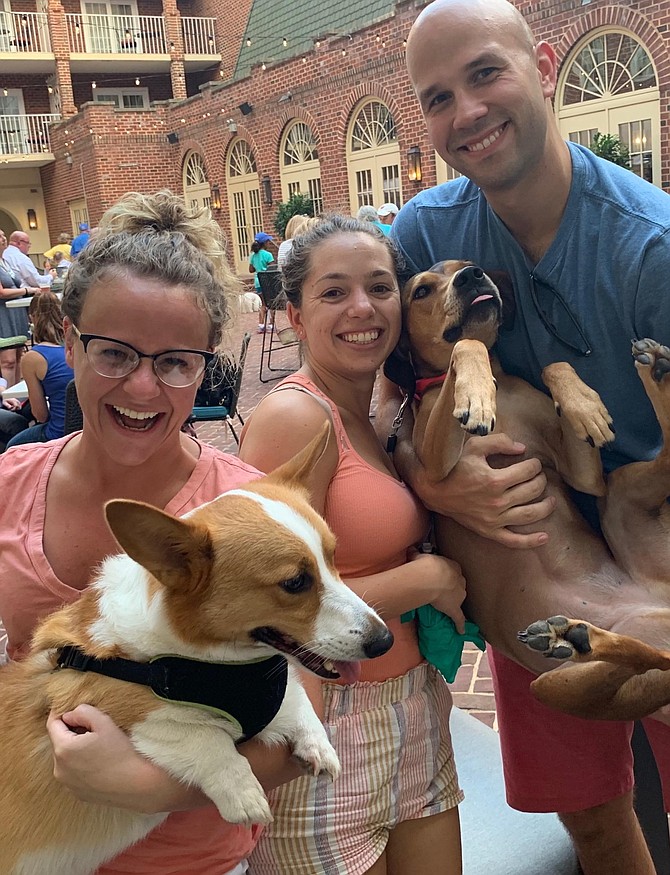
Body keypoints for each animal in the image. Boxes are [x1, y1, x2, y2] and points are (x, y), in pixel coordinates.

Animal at [0, 426, 394, 875]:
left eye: (333, 557)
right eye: (295, 582)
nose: (384, 641)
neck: (212, 658)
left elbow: (296, 702)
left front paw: (318, 746)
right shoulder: (114, 708)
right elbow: (206, 740)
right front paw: (244, 794)